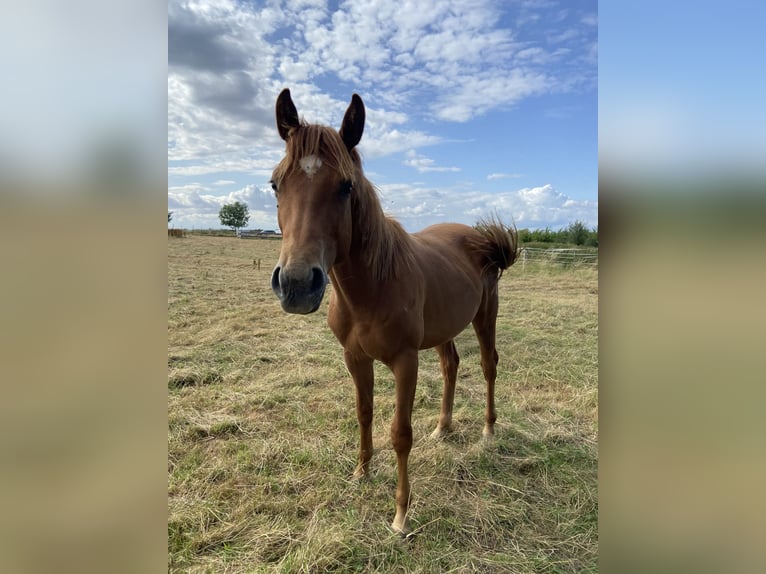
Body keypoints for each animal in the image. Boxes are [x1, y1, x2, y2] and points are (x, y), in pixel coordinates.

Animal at [269, 89, 518, 535]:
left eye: (346, 186)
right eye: (275, 184)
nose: (297, 285)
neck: (371, 287)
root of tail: (477, 238)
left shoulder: (405, 361)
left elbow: (400, 433)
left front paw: (401, 515)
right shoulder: (354, 357)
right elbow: (364, 413)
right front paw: (361, 472)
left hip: (485, 316)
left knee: (489, 365)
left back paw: (488, 430)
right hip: (444, 329)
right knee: (451, 365)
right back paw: (443, 426)